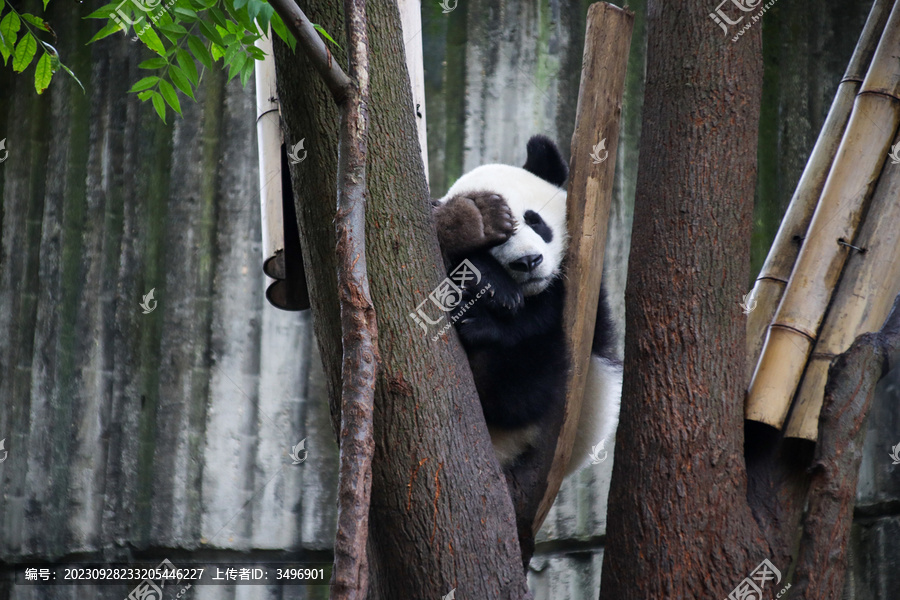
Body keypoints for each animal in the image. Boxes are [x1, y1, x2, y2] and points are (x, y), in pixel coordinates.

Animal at [432, 135, 624, 474]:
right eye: (494, 246)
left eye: (535, 220)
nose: (528, 261)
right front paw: (475, 232)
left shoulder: (584, 297)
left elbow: (541, 319)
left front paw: (489, 309)